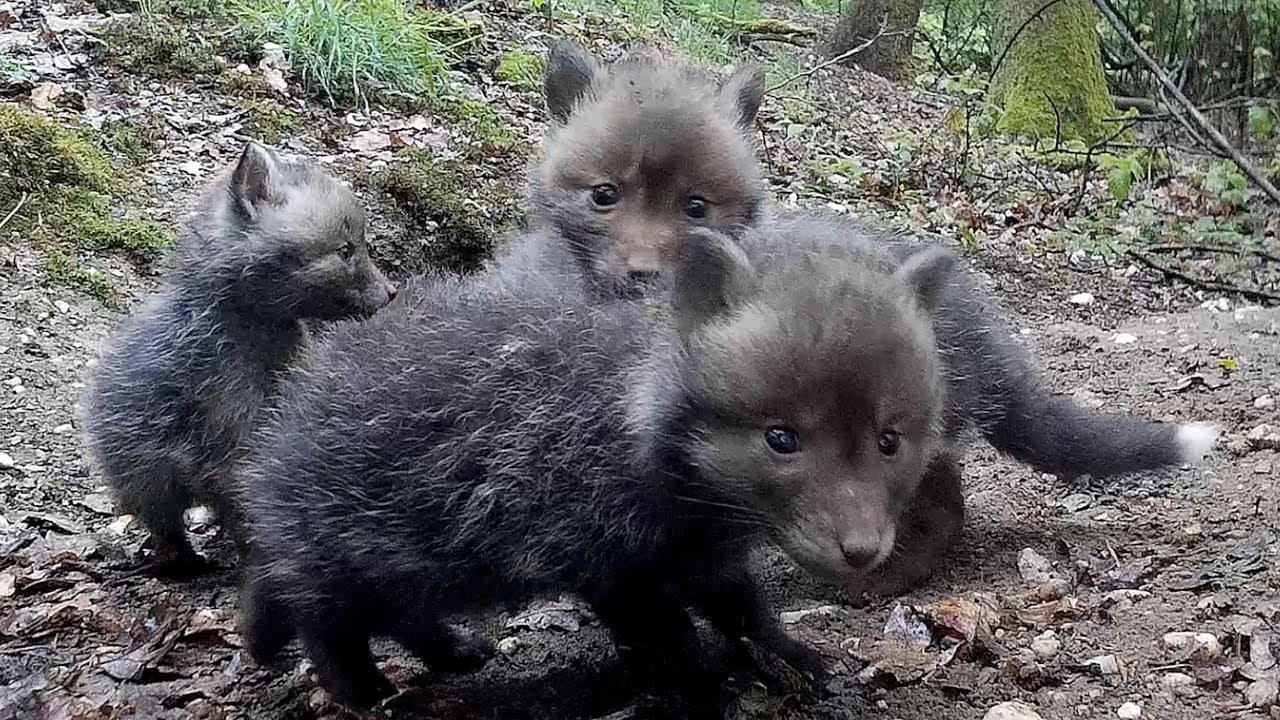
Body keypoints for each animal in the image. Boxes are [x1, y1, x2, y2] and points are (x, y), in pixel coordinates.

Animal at [237, 226, 959, 712]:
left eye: (889, 441)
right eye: (781, 438)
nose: (862, 551)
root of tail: (283, 419)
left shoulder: (702, 554)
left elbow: (744, 610)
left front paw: (790, 655)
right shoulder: (605, 559)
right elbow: (669, 636)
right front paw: (704, 680)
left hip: (401, 556)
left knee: (396, 613)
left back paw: (454, 651)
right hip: (344, 547)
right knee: (326, 627)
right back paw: (366, 692)